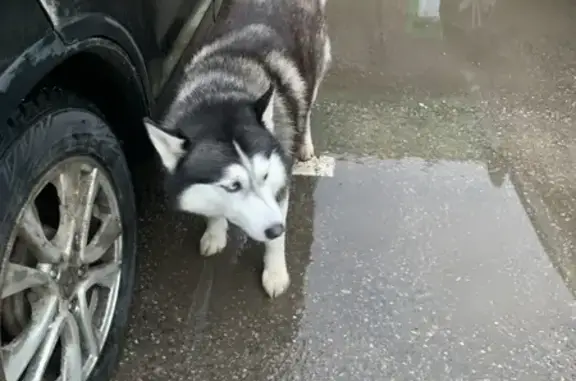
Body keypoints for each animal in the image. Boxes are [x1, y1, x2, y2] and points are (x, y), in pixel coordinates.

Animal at [145, 0, 332, 296]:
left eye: (265, 175)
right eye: (232, 186)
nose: (278, 228)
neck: (220, 91)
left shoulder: (280, 187)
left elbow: (274, 241)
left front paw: (275, 273)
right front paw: (215, 232)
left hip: (315, 69)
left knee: (307, 103)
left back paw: (304, 142)